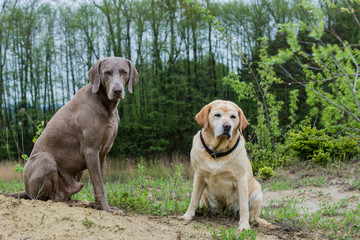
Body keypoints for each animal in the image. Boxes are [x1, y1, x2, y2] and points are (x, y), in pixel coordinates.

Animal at [3, 56, 139, 212]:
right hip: (45, 159)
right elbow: (99, 184)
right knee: (51, 198)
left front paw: (98, 205)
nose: (117, 90)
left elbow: (99, 181)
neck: (107, 106)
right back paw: (71, 202)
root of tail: (25, 189)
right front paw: (106, 208)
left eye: (124, 72)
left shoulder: (102, 154)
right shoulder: (91, 150)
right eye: (107, 73)